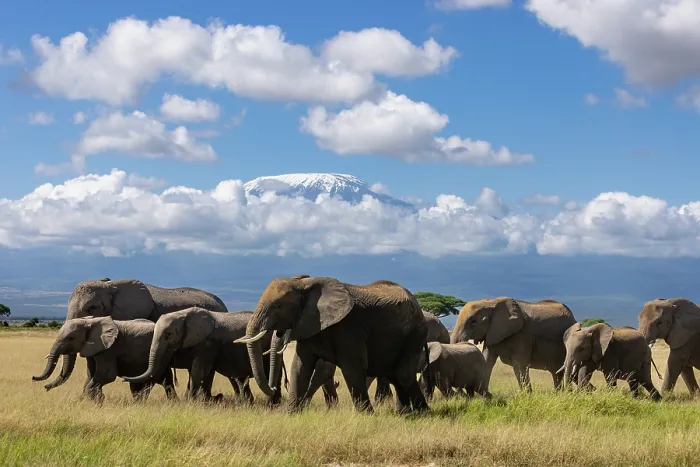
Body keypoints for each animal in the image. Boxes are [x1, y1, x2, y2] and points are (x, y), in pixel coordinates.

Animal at [32, 317, 177, 403]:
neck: (91, 321)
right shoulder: (93, 349)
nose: (45, 387)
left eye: (71, 338)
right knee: (164, 381)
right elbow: (91, 375)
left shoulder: (110, 348)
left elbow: (107, 375)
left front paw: (98, 400)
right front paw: (93, 400)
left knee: (149, 383)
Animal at [122, 308, 284, 405]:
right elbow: (206, 373)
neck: (183, 315)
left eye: (168, 335)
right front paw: (204, 402)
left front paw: (190, 402)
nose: (124, 378)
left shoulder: (207, 342)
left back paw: (272, 405)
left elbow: (198, 371)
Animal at [234, 276, 431, 414]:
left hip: (416, 331)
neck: (305, 284)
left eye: (278, 306)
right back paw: (408, 413)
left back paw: (420, 412)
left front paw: (366, 416)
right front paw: (289, 414)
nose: (274, 387)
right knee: (394, 374)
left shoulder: (348, 327)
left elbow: (352, 369)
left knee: (403, 374)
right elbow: (300, 367)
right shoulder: (310, 325)